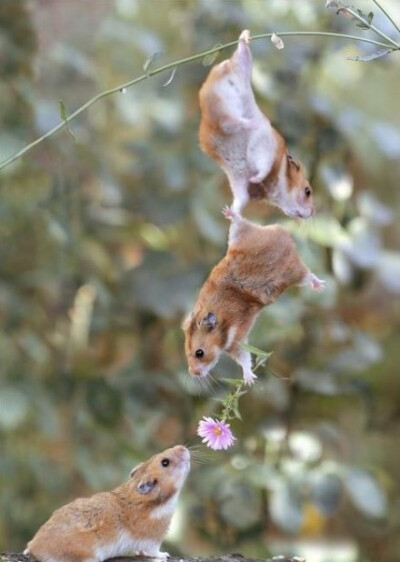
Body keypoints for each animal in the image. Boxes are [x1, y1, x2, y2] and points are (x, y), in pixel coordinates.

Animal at [24, 442, 191, 560]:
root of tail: (34, 547)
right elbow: (155, 551)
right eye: (165, 462)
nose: (183, 447)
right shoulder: (152, 539)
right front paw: (165, 555)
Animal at [183, 208, 324, 388]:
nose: (192, 373)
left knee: (309, 275)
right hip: (239, 235)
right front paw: (249, 381)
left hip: (294, 272)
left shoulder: (237, 340)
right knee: (242, 222)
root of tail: (283, 233)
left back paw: (320, 286)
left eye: (199, 353)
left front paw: (249, 381)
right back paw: (229, 213)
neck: (222, 325)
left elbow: (244, 359)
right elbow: (244, 359)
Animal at [198, 28, 314, 218]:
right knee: (232, 122)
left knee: (241, 53)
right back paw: (252, 122)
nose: (313, 212)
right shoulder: (264, 149)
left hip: (240, 68)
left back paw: (245, 37)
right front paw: (256, 178)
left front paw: (228, 213)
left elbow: (240, 200)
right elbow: (263, 167)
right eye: (307, 191)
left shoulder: (239, 181)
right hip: (229, 103)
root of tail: (223, 71)